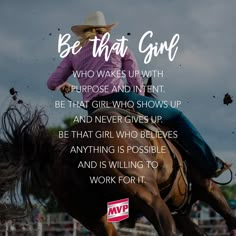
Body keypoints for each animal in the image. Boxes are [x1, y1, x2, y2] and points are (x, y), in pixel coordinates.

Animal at [0, 105, 235, 236]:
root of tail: (70, 146)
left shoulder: (179, 211)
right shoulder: (204, 185)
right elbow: (226, 210)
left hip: (94, 219)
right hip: (149, 199)